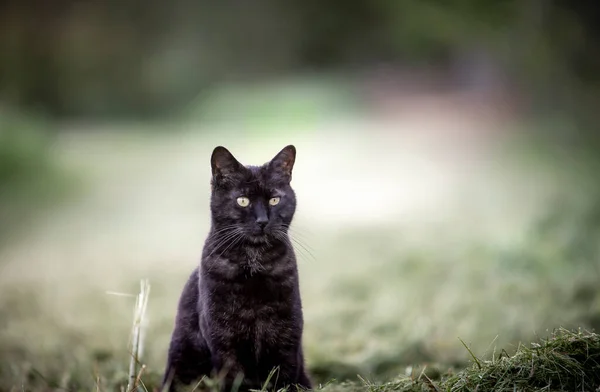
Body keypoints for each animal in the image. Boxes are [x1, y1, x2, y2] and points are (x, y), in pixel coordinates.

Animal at [161, 145, 310, 392]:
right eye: (242, 201)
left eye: (274, 200)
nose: (262, 221)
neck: (254, 264)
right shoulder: (224, 339)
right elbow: (235, 378)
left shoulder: (287, 334)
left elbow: (285, 375)